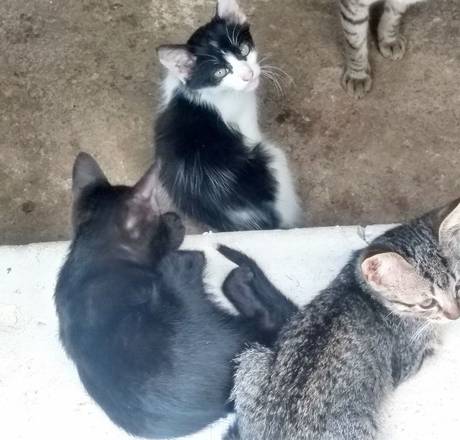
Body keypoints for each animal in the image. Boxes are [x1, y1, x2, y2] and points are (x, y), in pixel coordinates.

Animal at [154, 0, 303, 232]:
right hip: (273, 158)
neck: (205, 90)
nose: (248, 75)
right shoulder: (247, 124)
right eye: (220, 72)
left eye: (243, 50)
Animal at [227, 197, 460, 439]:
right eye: (427, 303)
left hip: (252, 359)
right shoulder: (409, 358)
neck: (358, 285)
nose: (455, 314)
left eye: (456, 287)